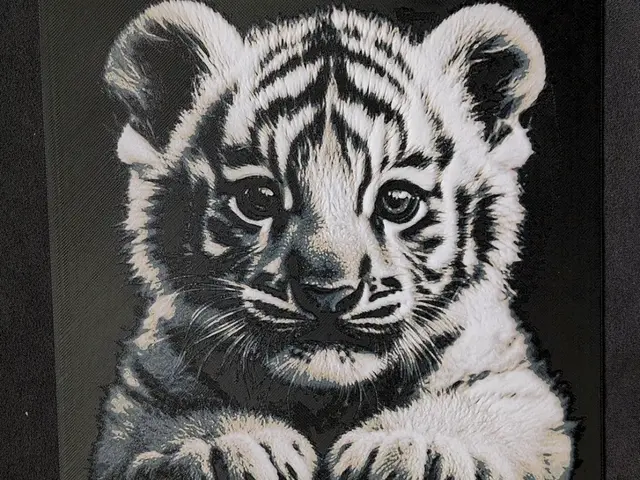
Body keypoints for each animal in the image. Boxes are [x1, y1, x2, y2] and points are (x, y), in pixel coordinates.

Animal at [91, 1, 575, 479]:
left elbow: (492, 406)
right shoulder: (142, 390)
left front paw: (418, 445)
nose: (328, 293)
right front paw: (220, 445)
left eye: (397, 201)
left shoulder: (513, 379)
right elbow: (165, 414)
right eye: (257, 199)